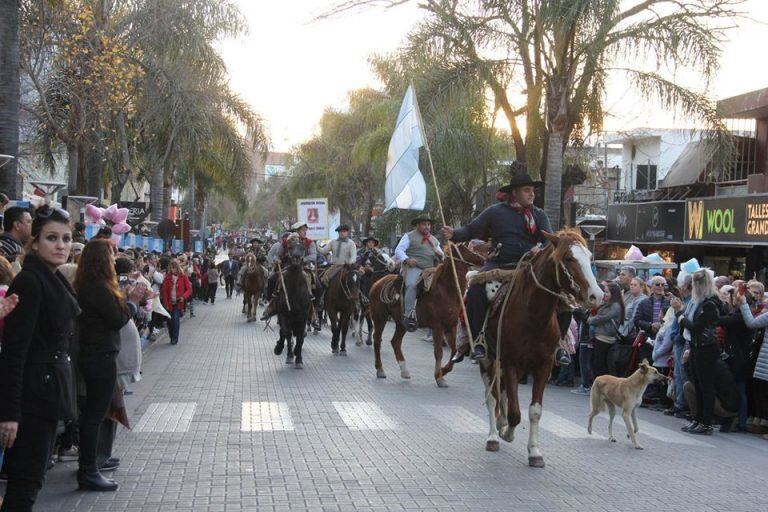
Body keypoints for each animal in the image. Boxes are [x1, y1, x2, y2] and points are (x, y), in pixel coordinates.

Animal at [368, 242, 484, 386]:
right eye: (467, 250)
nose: (482, 259)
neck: (447, 289)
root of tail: (377, 283)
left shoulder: (451, 326)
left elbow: (454, 351)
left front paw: (443, 371)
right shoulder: (438, 327)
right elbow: (439, 352)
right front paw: (439, 377)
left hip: (401, 323)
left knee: (395, 342)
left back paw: (405, 371)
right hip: (380, 318)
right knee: (377, 340)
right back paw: (380, 370)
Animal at [480, 230, 608, 466]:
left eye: (589, 257)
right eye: (569, 258)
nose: (597, 295)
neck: (533, 315)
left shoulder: (544, 365)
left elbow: (534, 411)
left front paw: (534, 452)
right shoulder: (511, 363)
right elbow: (515, 412)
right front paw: (507, 433)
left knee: (501, 393)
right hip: (489, 359)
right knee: (492, 395)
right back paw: (494, 435)